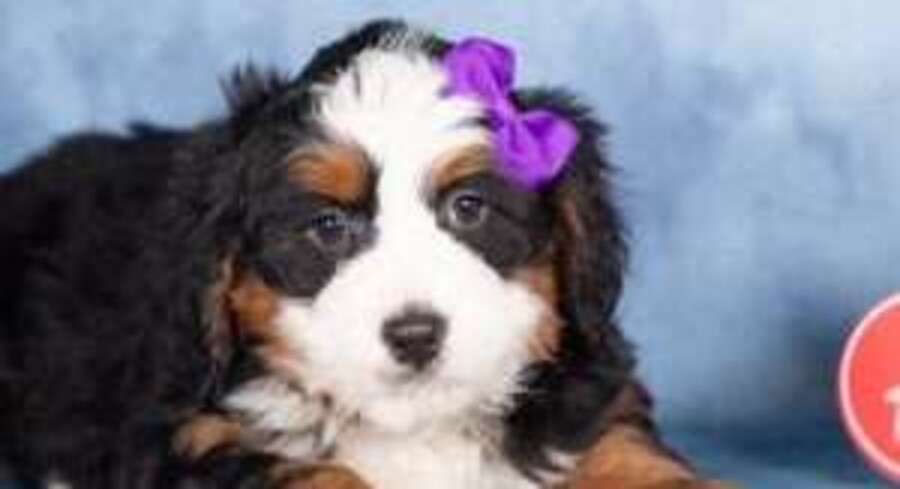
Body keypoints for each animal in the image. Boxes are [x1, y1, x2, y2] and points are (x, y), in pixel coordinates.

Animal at [0, 19, 721, 489]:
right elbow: (313, 474)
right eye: (327, 227)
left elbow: (627, 448)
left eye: (469, 208)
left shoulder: (590, 390)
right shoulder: (187, 432)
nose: (415, 334)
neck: (414, 428)